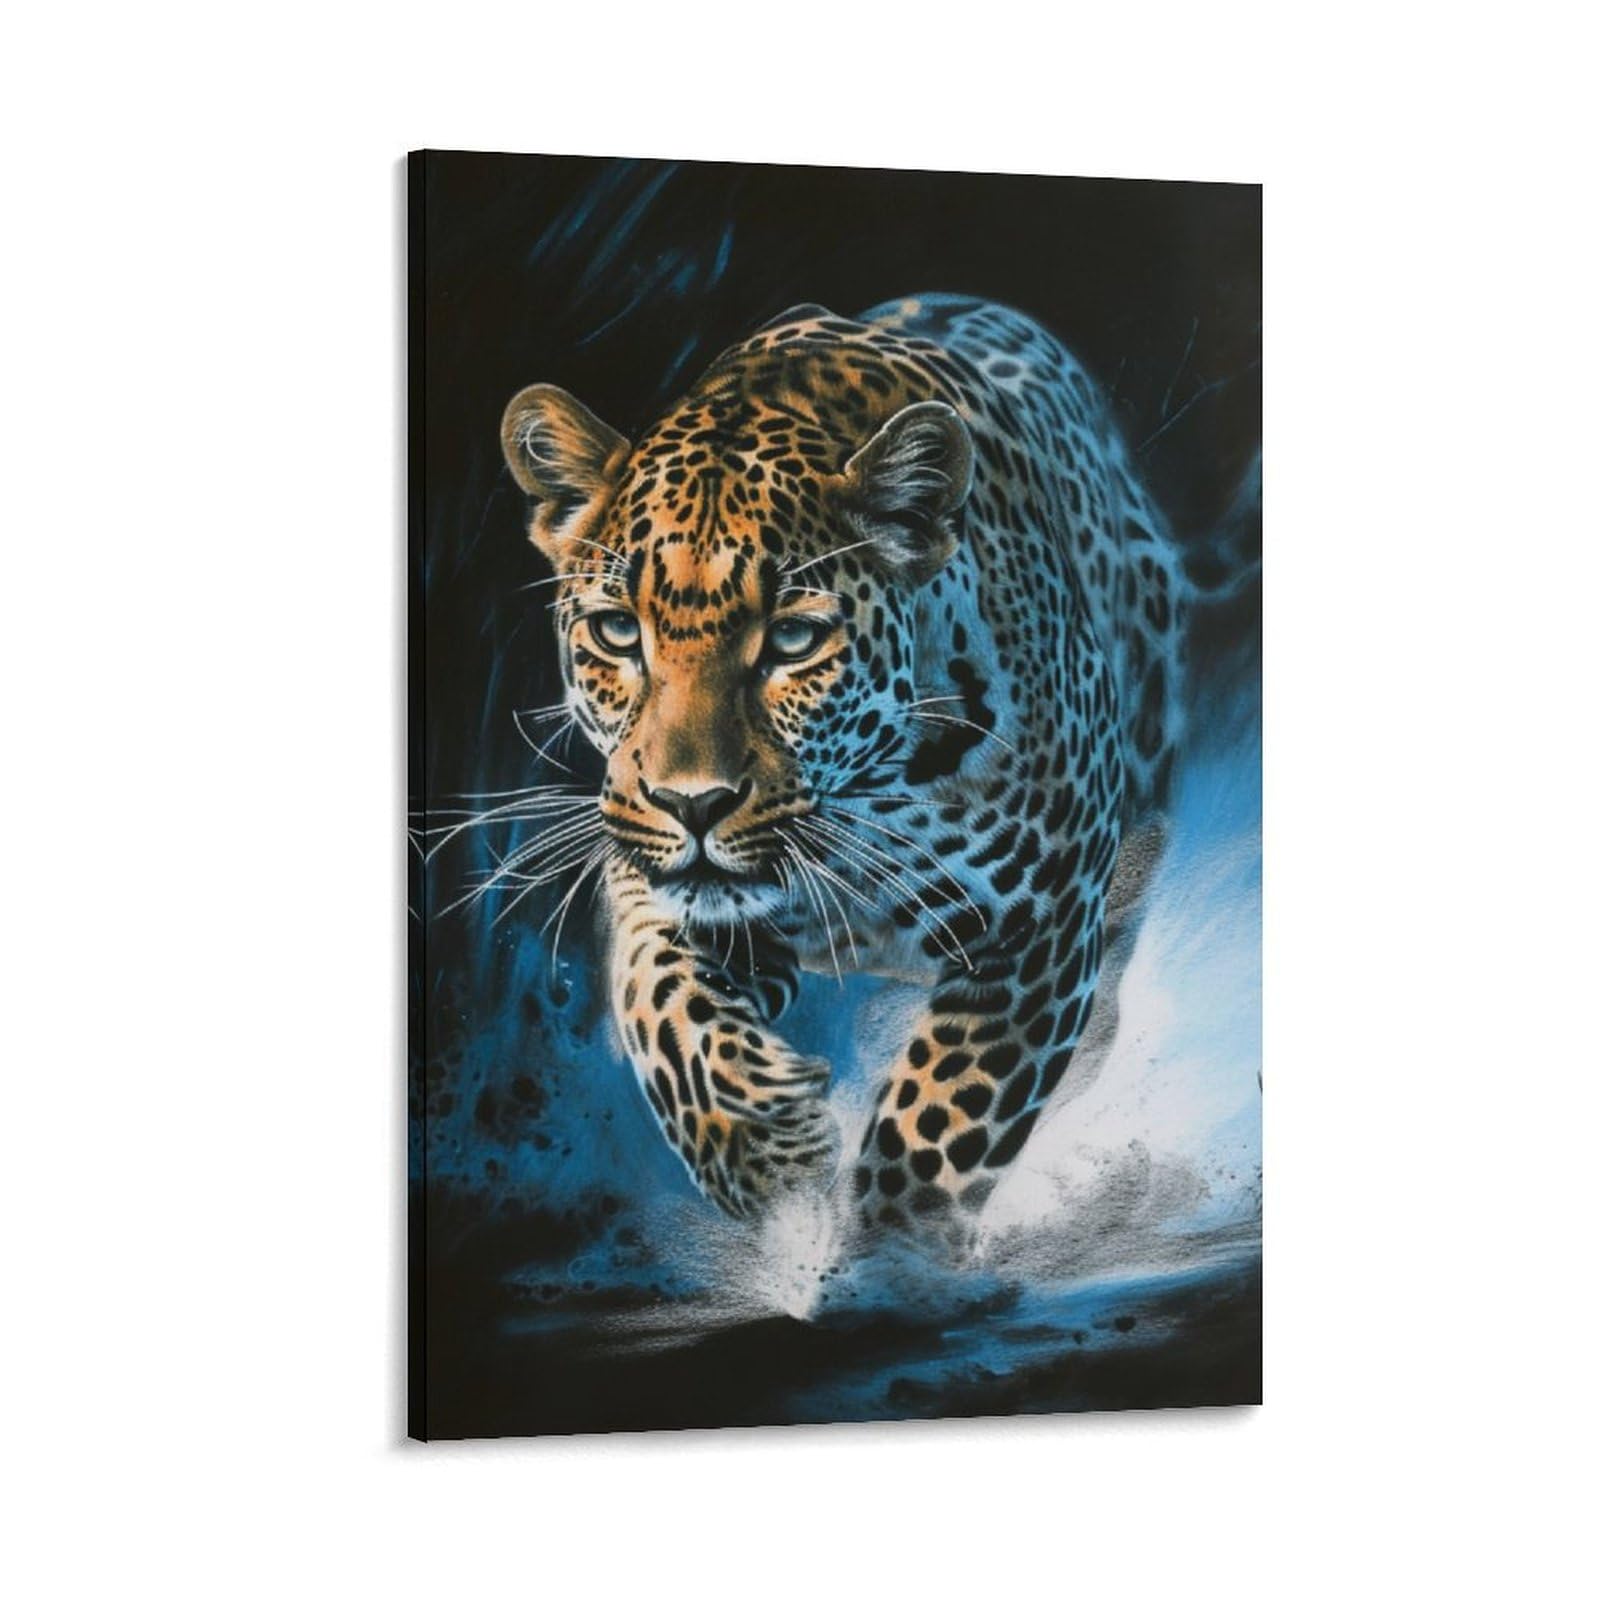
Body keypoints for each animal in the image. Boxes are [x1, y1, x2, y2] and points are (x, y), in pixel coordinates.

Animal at [498, 294, 1188, 1240]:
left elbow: (941, 1125)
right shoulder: (648, 869)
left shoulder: (1042, 927)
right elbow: (659, 1001)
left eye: (793, 640)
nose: (692, 804)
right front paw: (768, 1151)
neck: (866, 798)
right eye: (616, 632)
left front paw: (886, 1256)